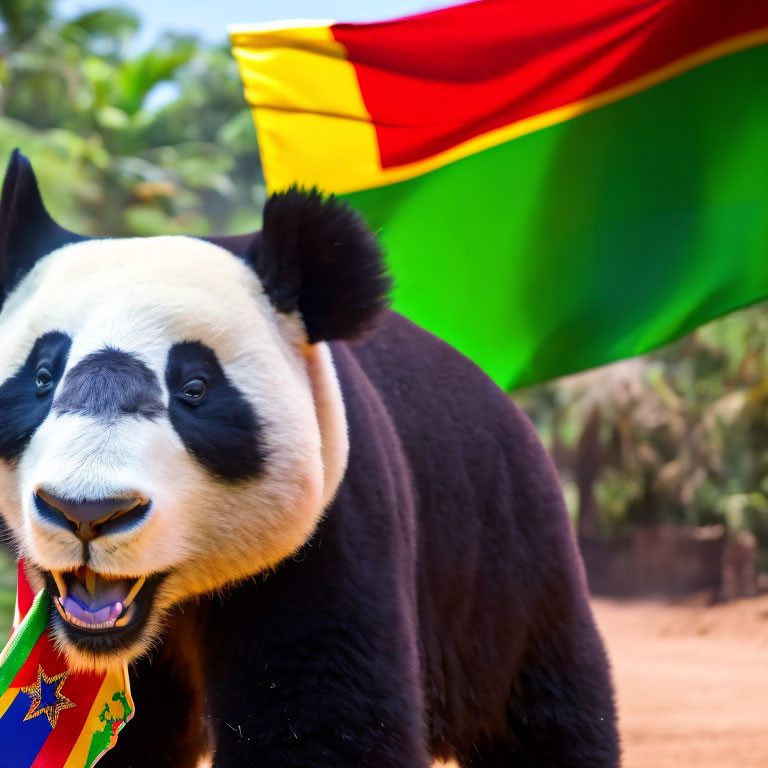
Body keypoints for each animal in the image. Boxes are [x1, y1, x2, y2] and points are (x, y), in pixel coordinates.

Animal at [0, 152, 616, 768]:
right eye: (42, 377)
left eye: (195, 388)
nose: (87, 512)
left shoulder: (327, 530)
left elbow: (323, 722)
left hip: (504, 560)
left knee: (546, 712)